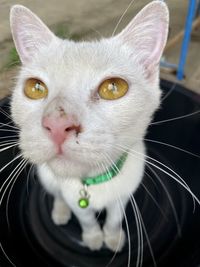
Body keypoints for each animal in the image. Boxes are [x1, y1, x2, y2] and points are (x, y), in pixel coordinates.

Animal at [9, 0, 169, 253]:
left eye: (113, 88)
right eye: (35, 88)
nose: (57, 124)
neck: (93, 182)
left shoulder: (123, 195)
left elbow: (114, 218)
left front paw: (112, 238)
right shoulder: (75, 200)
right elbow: (86, 219)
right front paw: (93, 238)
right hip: (47, 176)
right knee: (57, 194)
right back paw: (60, 212)